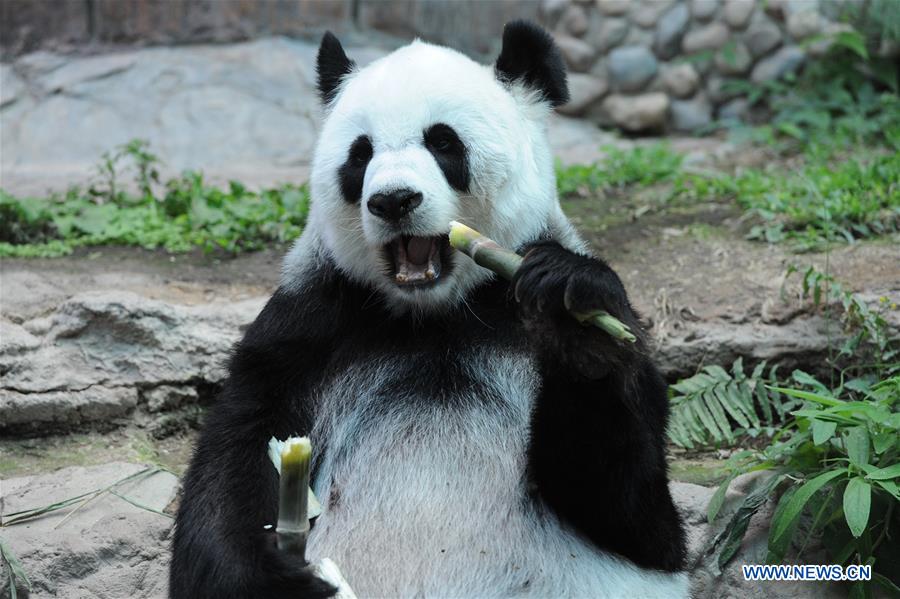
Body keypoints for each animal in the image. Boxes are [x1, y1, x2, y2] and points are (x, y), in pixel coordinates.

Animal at [171, 19, 688, 599]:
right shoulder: (308, 329)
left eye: (443, 142)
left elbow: (634, 516)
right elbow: (230, 476)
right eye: (360, 155)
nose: (393, 200)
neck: (436, 314)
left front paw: (575, 320)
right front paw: (282, 578)